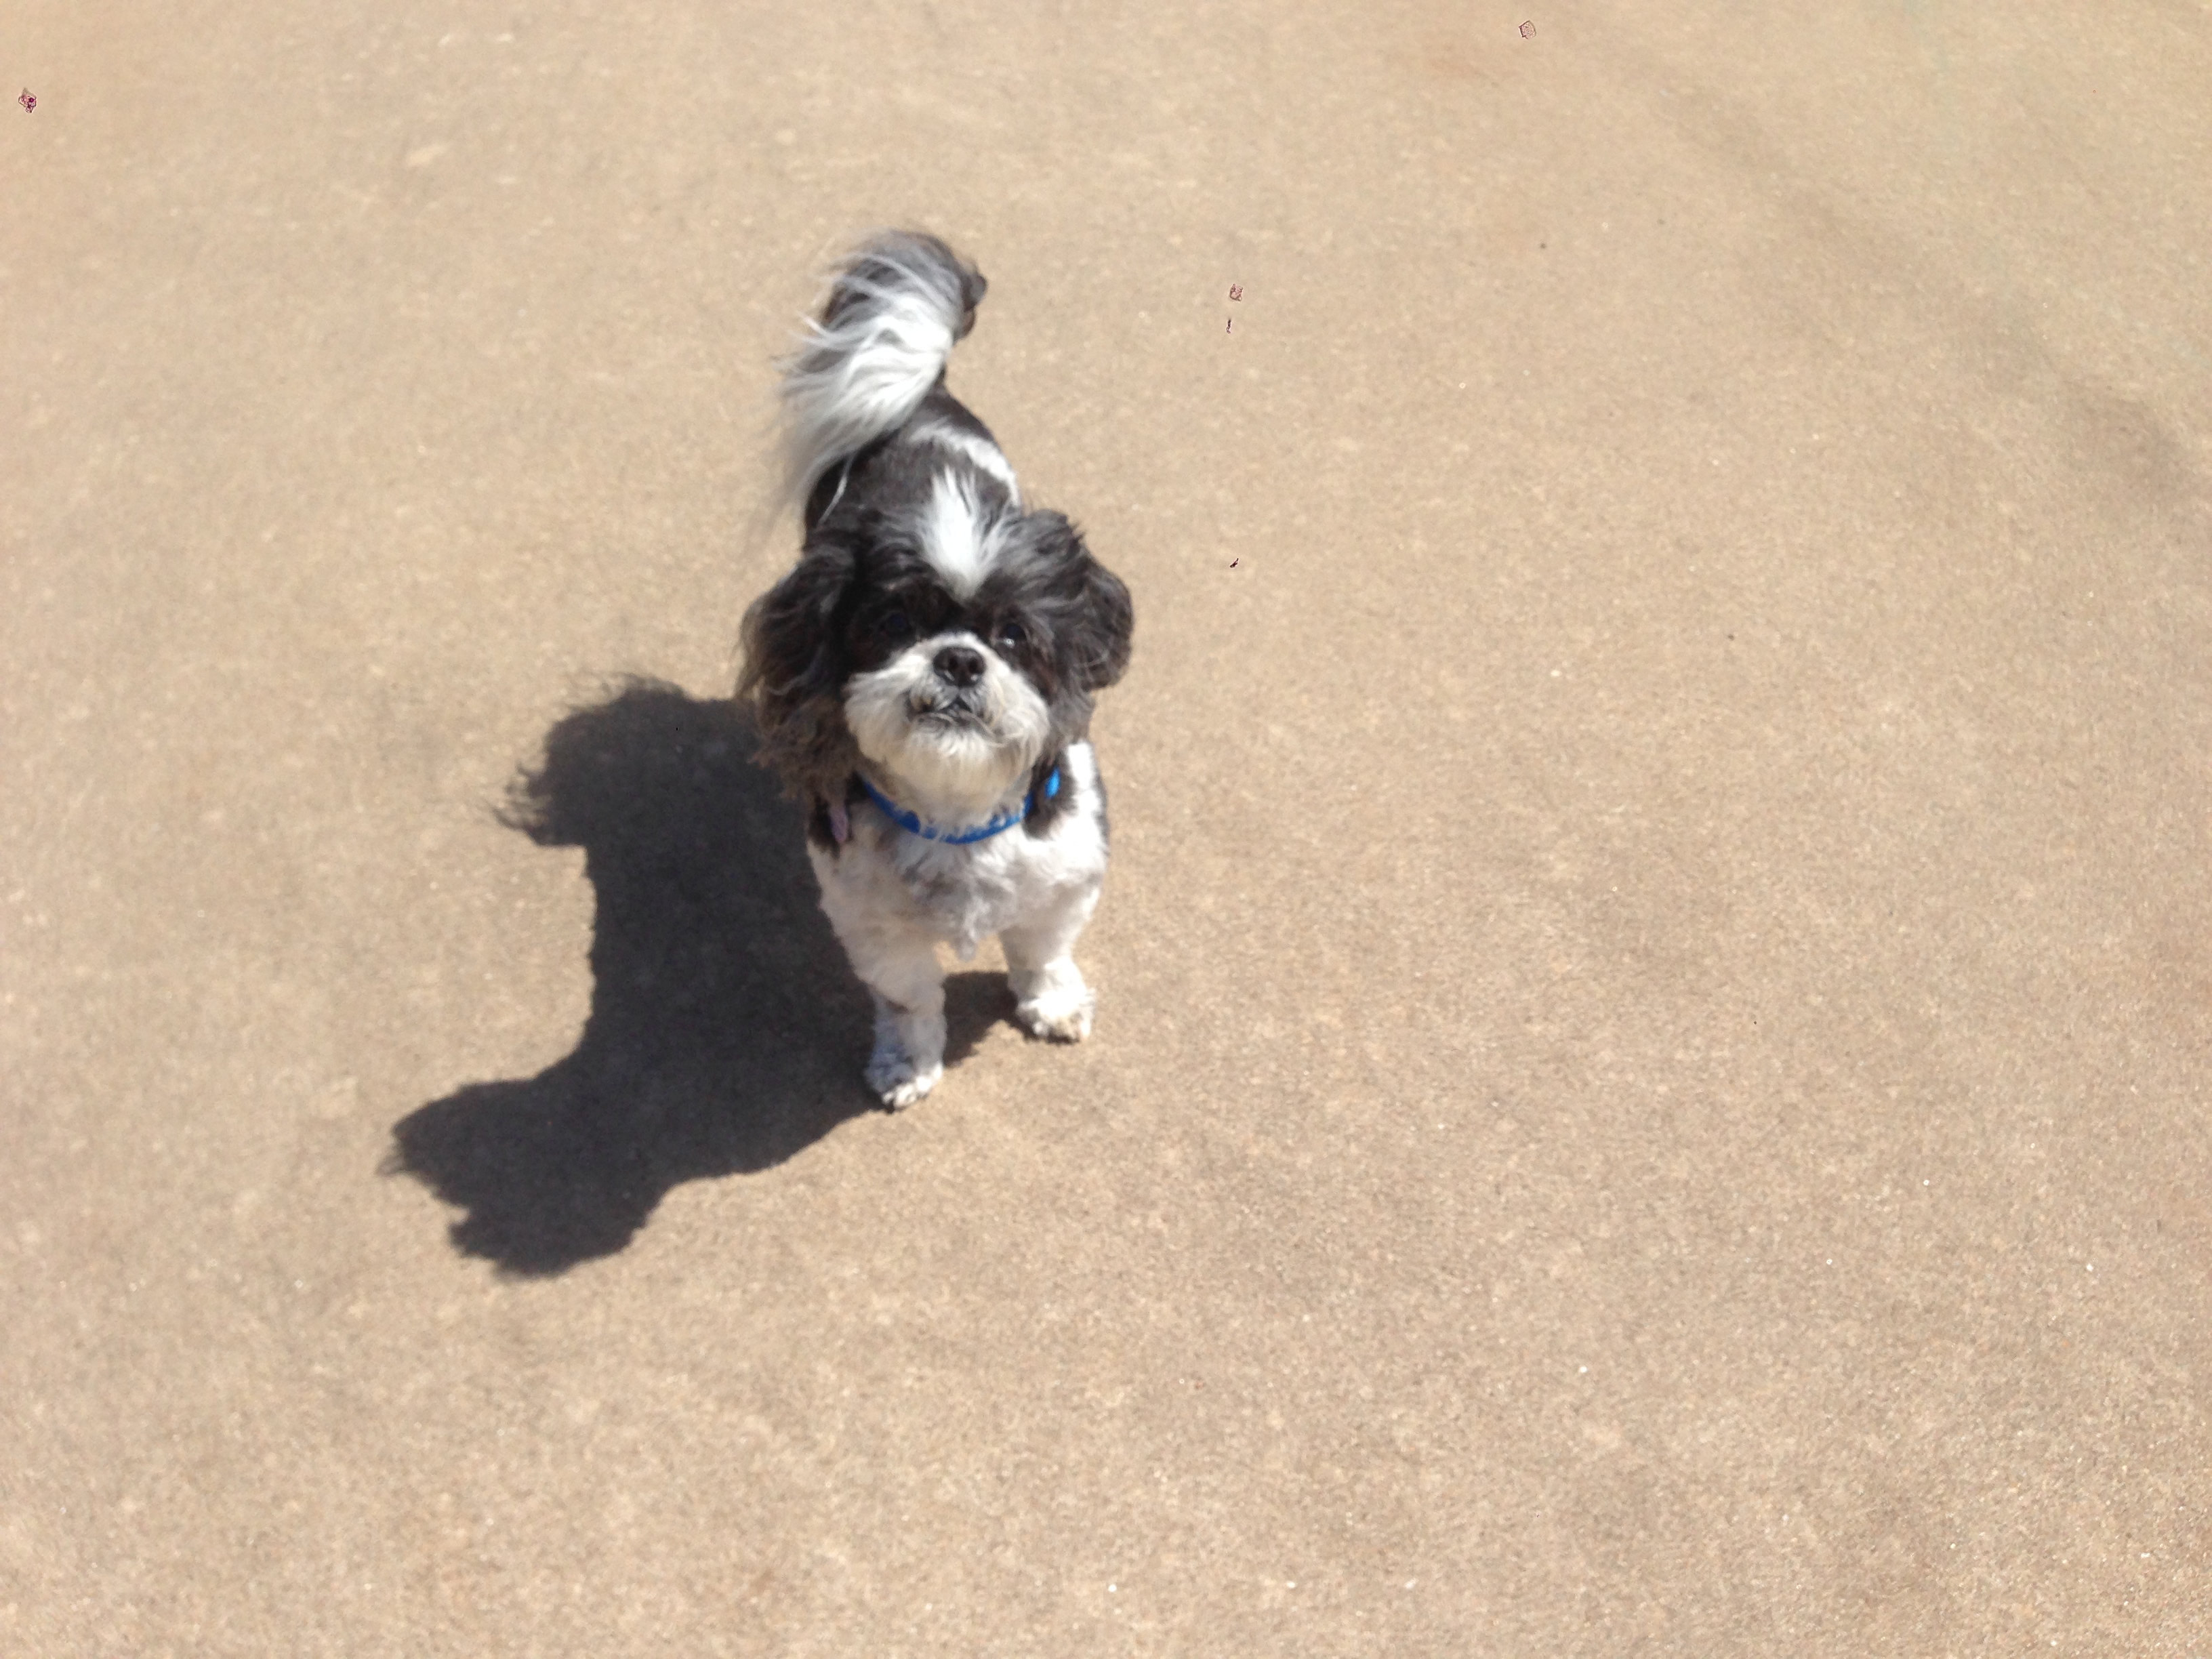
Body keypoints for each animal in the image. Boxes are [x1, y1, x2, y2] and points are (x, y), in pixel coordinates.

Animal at [737, 232, 1134, 1109]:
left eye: (1014, 636)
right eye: (893, 626)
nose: (958, 657)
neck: (956, 812)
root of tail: (920, 405)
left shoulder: (1066, 876)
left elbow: (1042, 951)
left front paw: (1052, 1002)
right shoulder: (870, 922)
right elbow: (908, 999)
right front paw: (906, 1063)